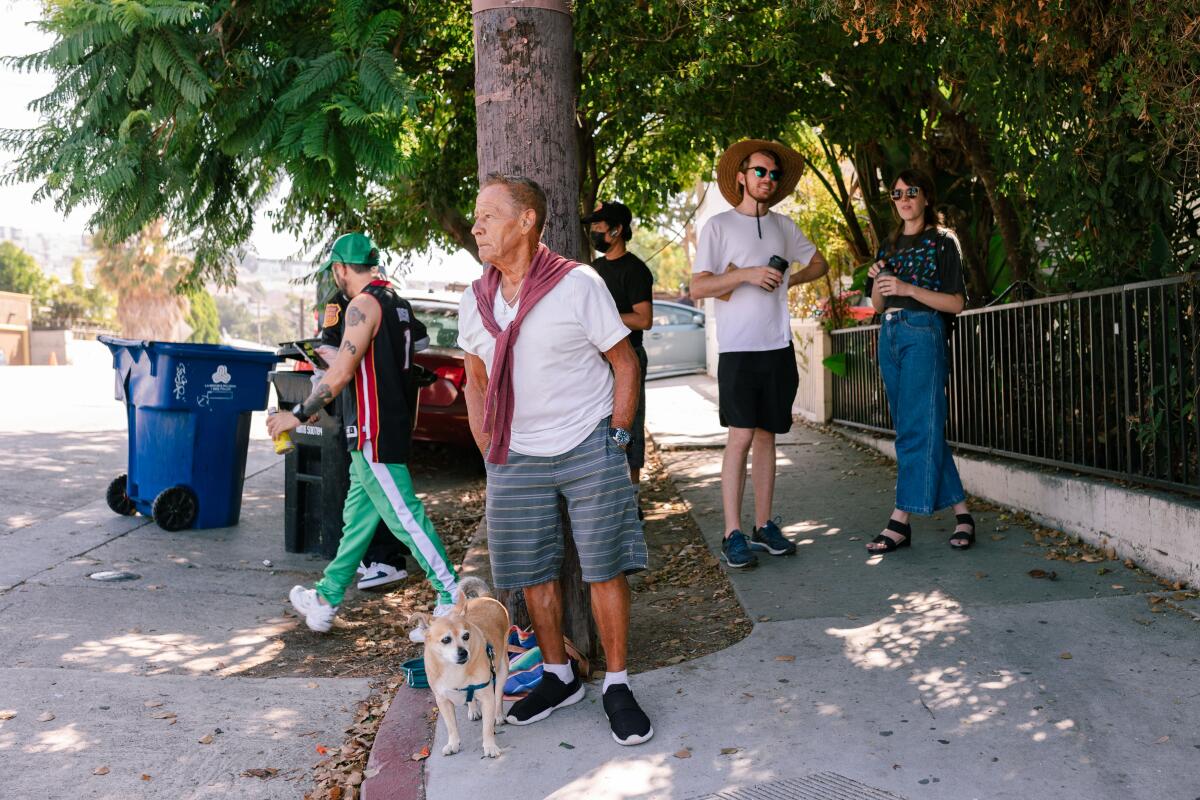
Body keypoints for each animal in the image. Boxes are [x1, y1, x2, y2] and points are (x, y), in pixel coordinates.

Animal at [410, 575, 508, 758]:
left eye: (466, 636)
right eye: (446, 640)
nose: (463, 652)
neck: (454, 670)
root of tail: (485, 597)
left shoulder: (487, 697)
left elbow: (487, 728)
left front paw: (490, 746)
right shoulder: (443, 700)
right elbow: (451, 726)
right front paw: (453, 744)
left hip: (502, 669)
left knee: (498, 694)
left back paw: (498, 715)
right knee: (471, 699)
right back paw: (473, 710)